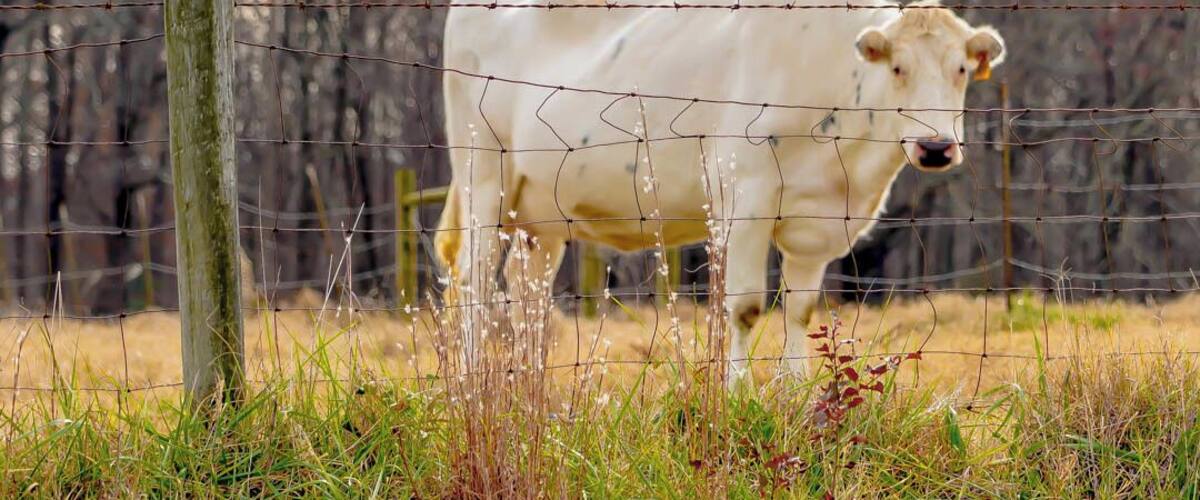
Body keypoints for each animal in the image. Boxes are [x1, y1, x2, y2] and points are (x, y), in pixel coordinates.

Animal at [435, 0, 1005, 386]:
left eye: (960, 69)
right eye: (898, 67)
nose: (936, 147)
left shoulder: (817, 224)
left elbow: (800, 312)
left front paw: (795, 393)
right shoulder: (747, 198)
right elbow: (746, 308)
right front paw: (739, 394)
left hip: (543, 215)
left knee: (525, 292)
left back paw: (531, 388)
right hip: (482, 175)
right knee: (474, 281)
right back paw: (472, 382)